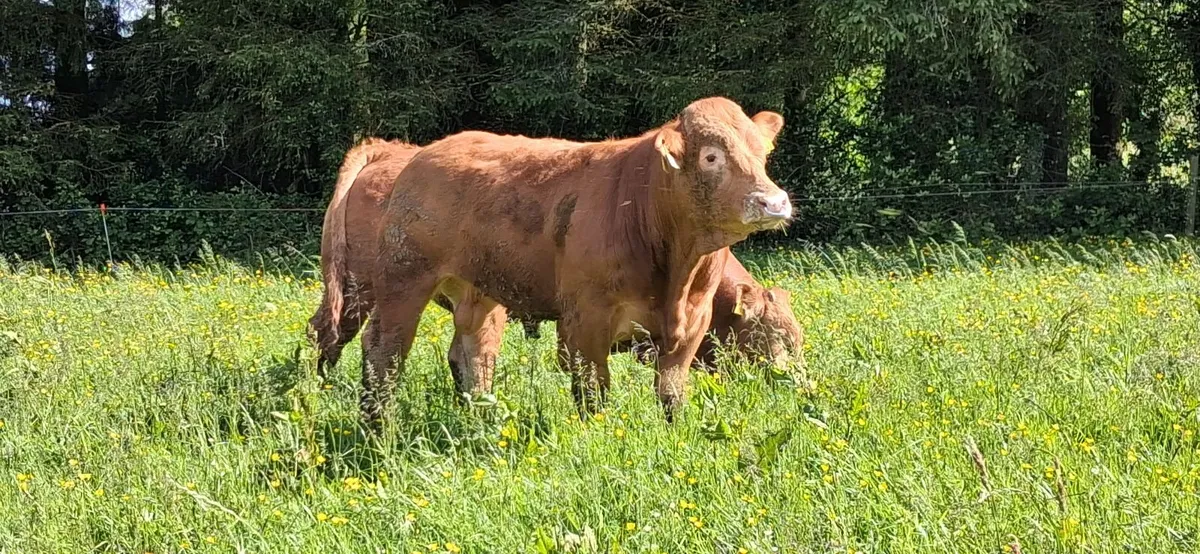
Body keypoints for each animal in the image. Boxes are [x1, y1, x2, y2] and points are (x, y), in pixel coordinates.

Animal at [350, 97, 792, 425]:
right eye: (711, 157)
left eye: (762, 152)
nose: (774, 202)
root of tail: (423, 154)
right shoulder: (584, 321)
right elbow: (593, 390)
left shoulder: (693, 323)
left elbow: (671, 392)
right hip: (402, 280)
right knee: (384, 352)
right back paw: (379, 429)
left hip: (477, 291)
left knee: (472, 353)